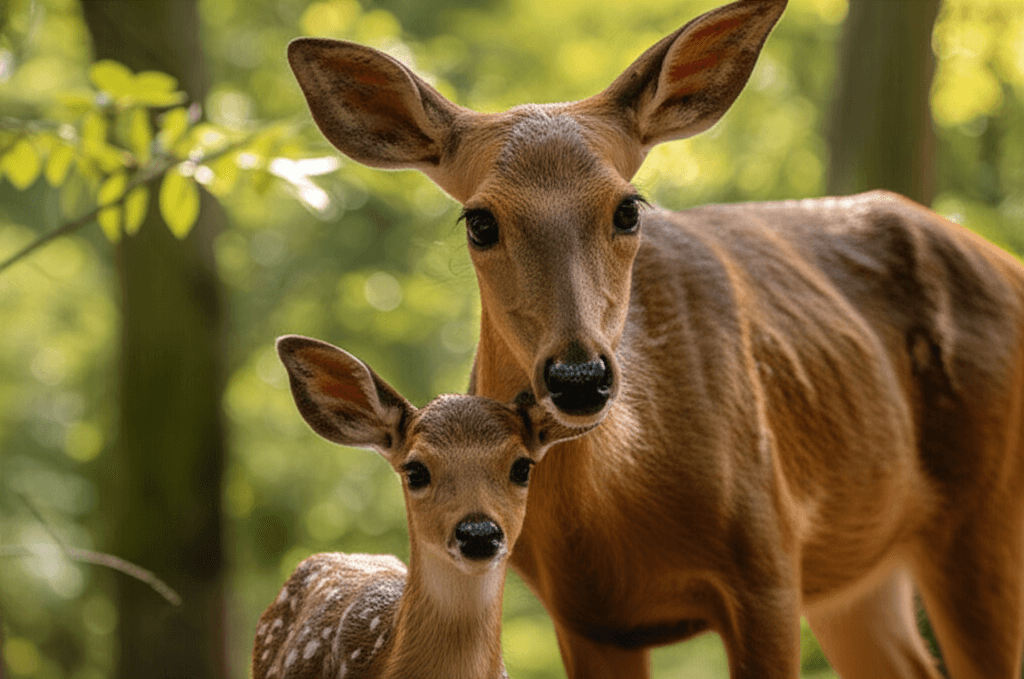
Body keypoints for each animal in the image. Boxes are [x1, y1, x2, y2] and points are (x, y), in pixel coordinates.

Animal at [285, 0, 1024, 676]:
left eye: (628, 208)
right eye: (480, 221)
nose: (579, 376)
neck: (621, 507)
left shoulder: (767, 567)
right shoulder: (585, 615)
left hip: (983, 516)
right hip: (861, 570)